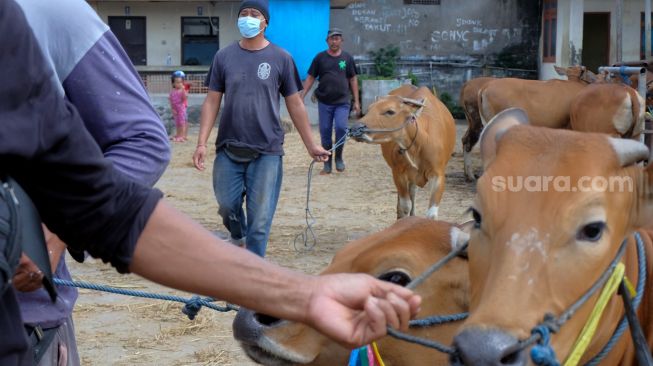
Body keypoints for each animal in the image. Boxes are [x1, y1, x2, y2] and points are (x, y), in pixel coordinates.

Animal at [352, 85, 454, 220]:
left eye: (390, 111)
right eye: (369, 109)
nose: (355, 129)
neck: (418, 146)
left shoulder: (438, 175)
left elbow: (431, 215)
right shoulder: (398, 174)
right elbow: (405, 206)